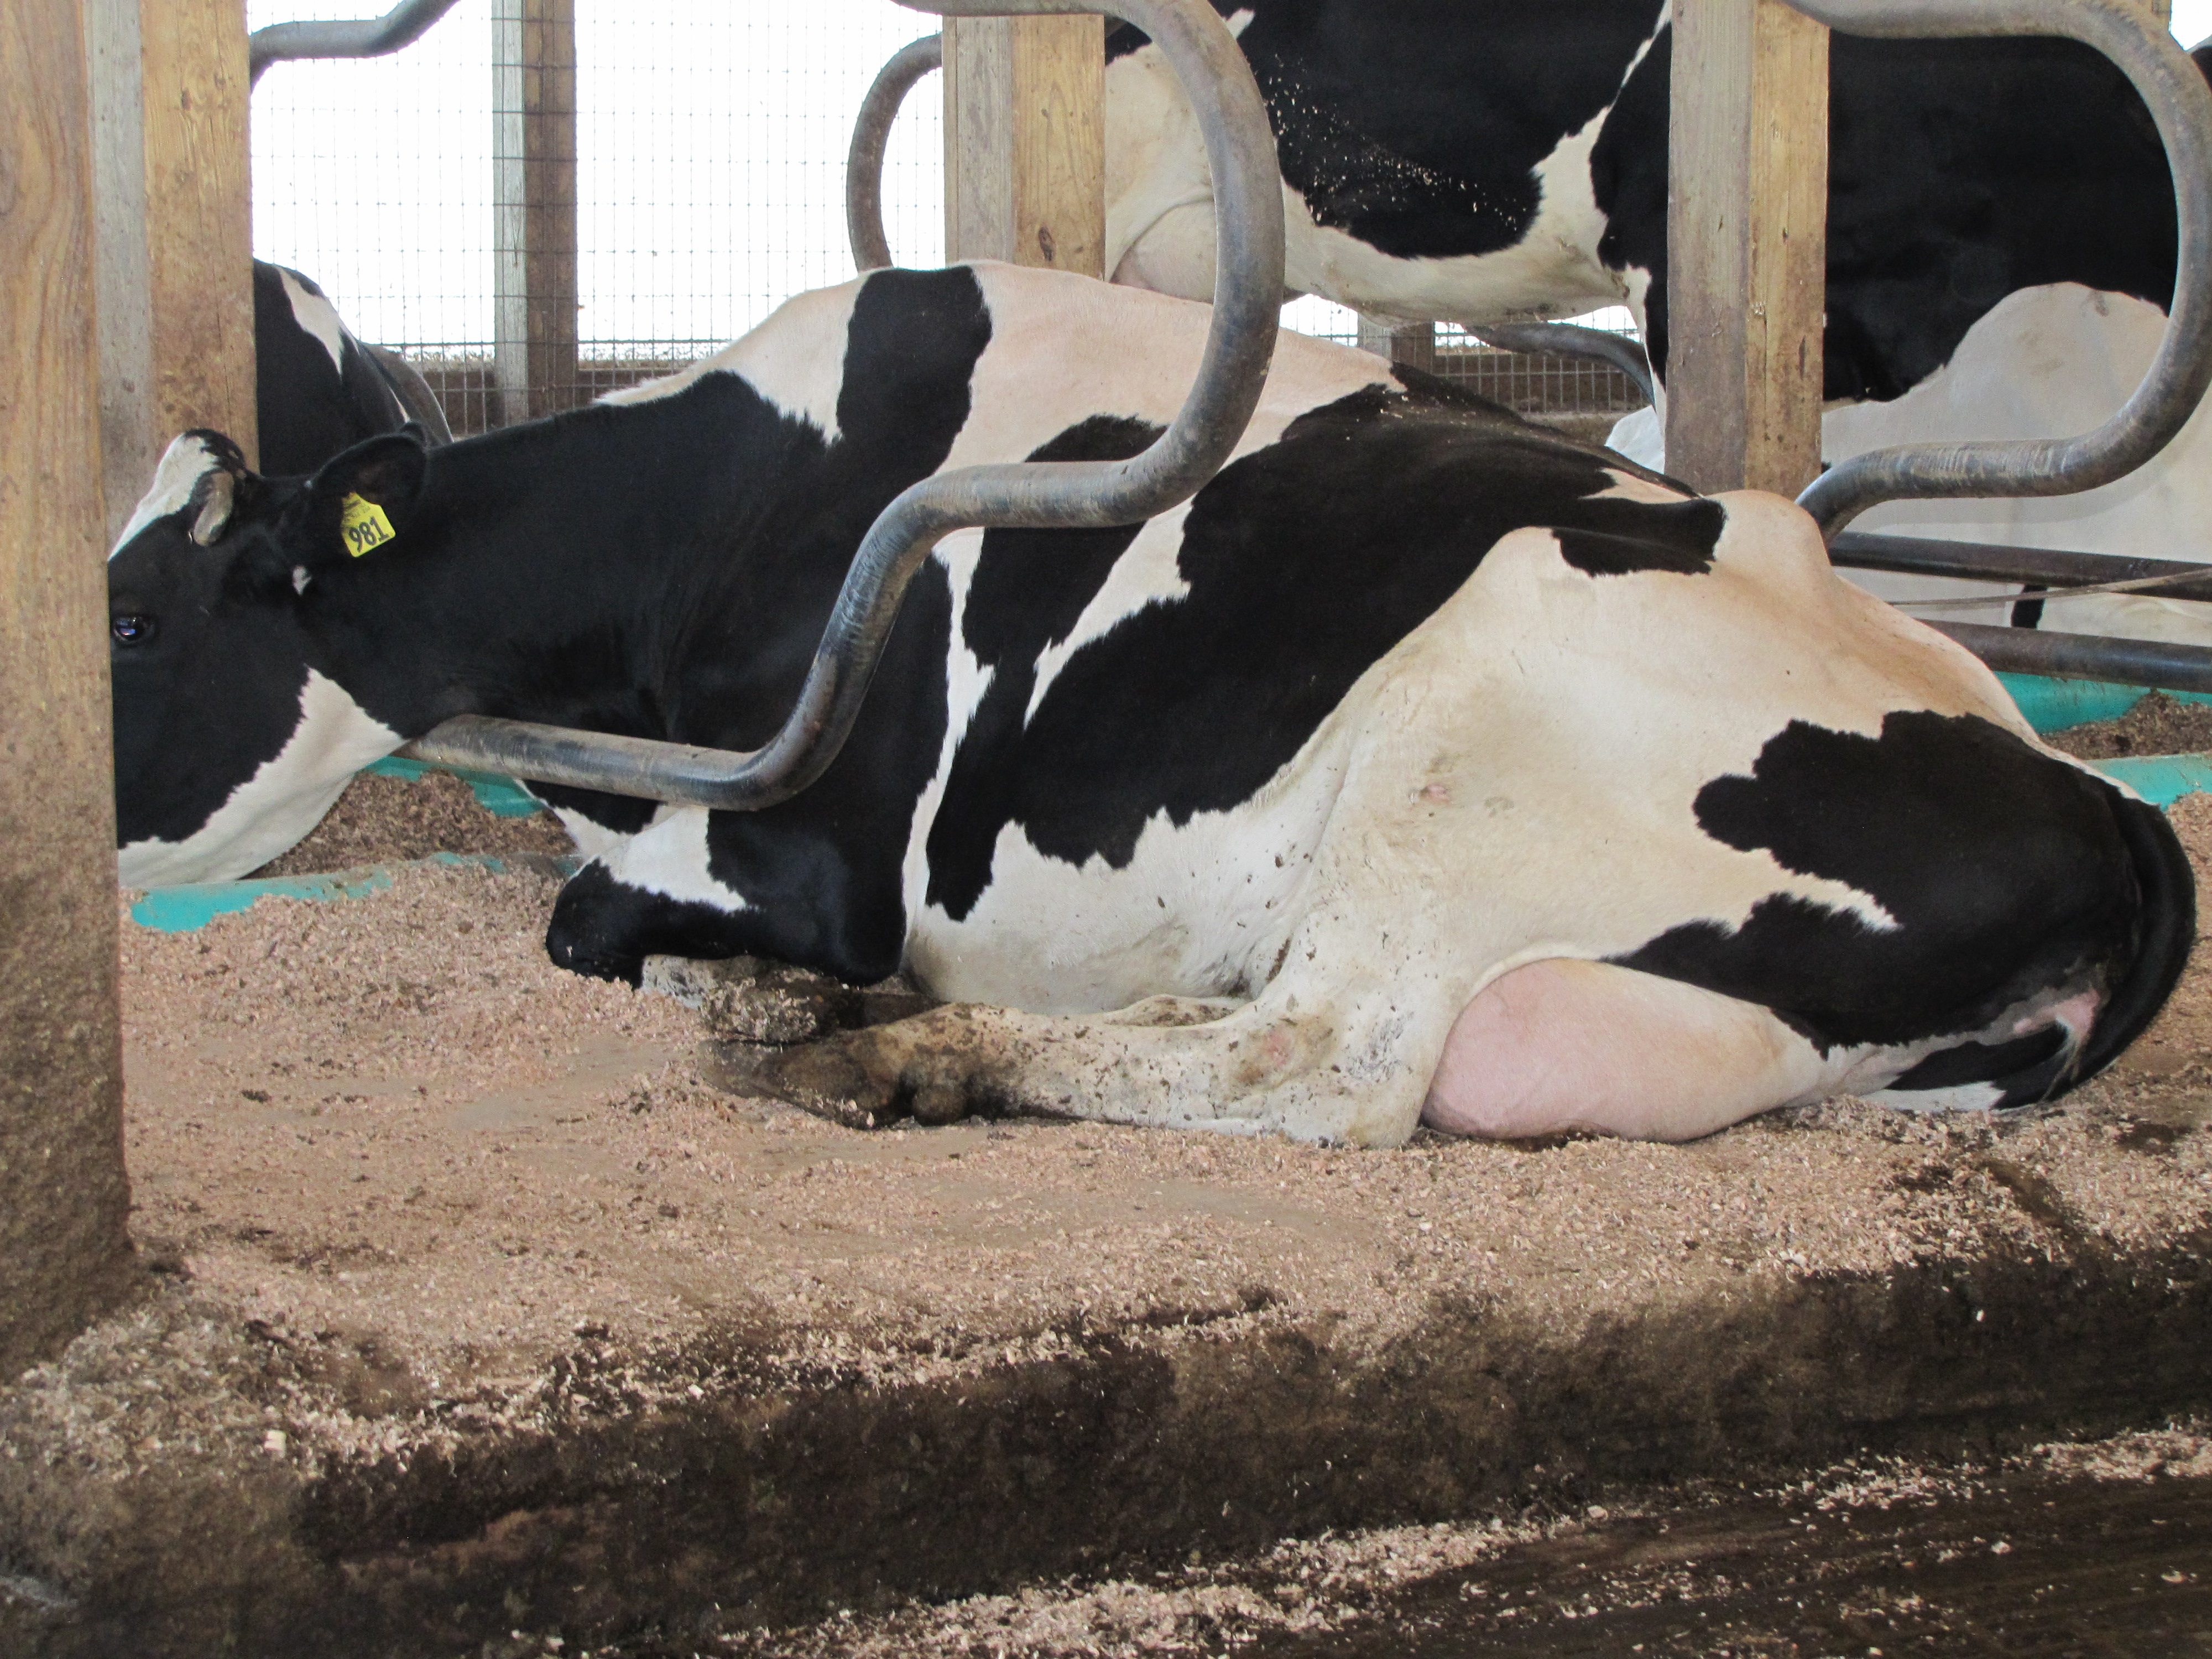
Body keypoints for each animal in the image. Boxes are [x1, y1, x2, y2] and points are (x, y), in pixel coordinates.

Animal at [106, 264, 2192, 1146]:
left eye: (123, 621)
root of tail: (2108, 812)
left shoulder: (828, 851)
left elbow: (592, 924)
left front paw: (771, 997)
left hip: (1468, 730)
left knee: (1321, 1067)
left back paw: (905, 1056)